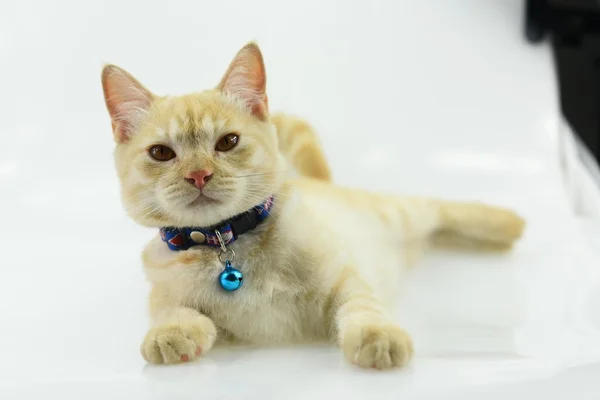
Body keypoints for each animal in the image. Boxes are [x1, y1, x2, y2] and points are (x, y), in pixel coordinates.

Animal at [102, 42, 524, 370]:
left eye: (227, 142)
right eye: (161, 153)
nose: (199, 175)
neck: (227, 242)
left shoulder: (345, 275)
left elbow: (362, 304)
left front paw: (378, 335)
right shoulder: (164, 289)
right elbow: (169, 308)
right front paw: (170, 333)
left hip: (398, 214)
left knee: (436, 208)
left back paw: (506, 225)